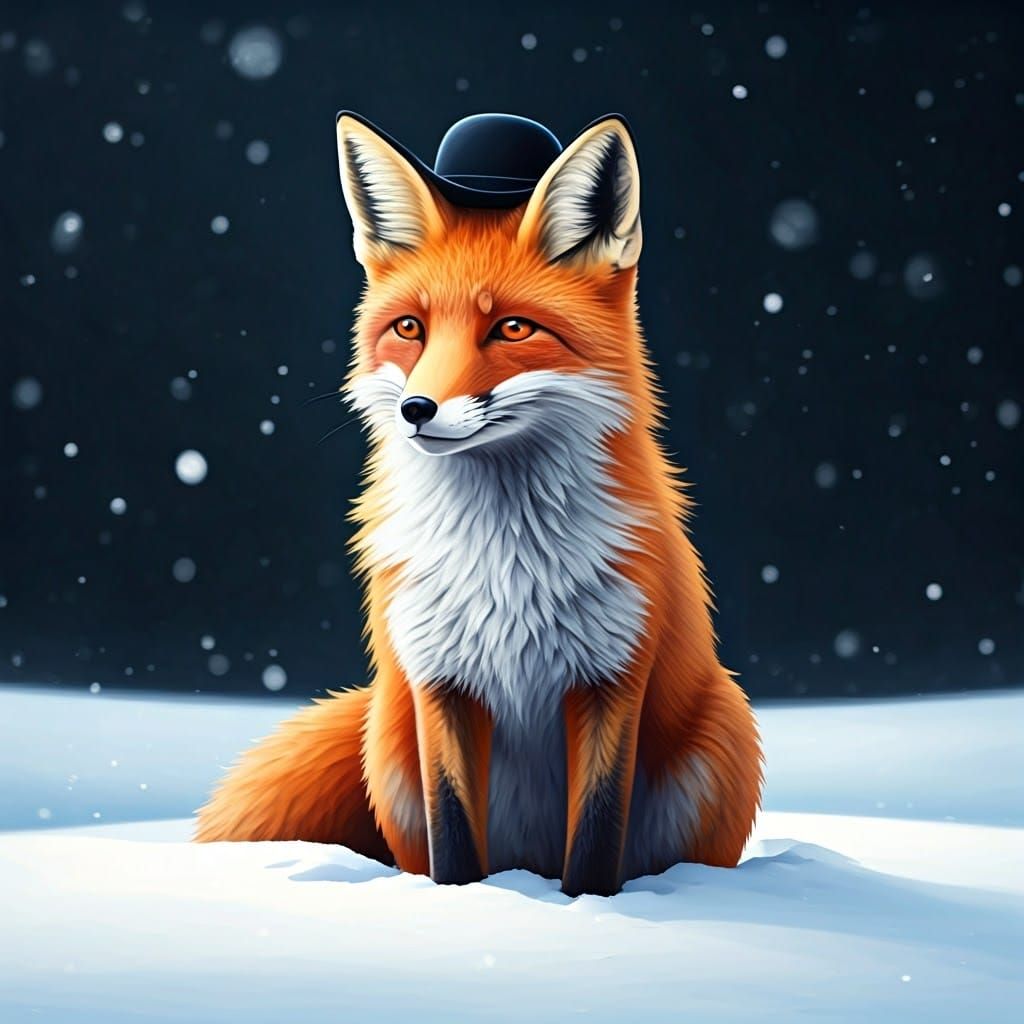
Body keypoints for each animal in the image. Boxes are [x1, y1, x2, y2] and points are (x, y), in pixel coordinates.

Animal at [195, 111, 763, 897]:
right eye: (410, 328)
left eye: (513, 328)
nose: (416, 409)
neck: (505, 561)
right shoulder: (441, 681)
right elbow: (455, 838)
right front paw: (467, 908)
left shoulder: (613, 677)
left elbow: (595, 843)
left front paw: (591, 909)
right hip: (389, 746)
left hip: (724, 729)